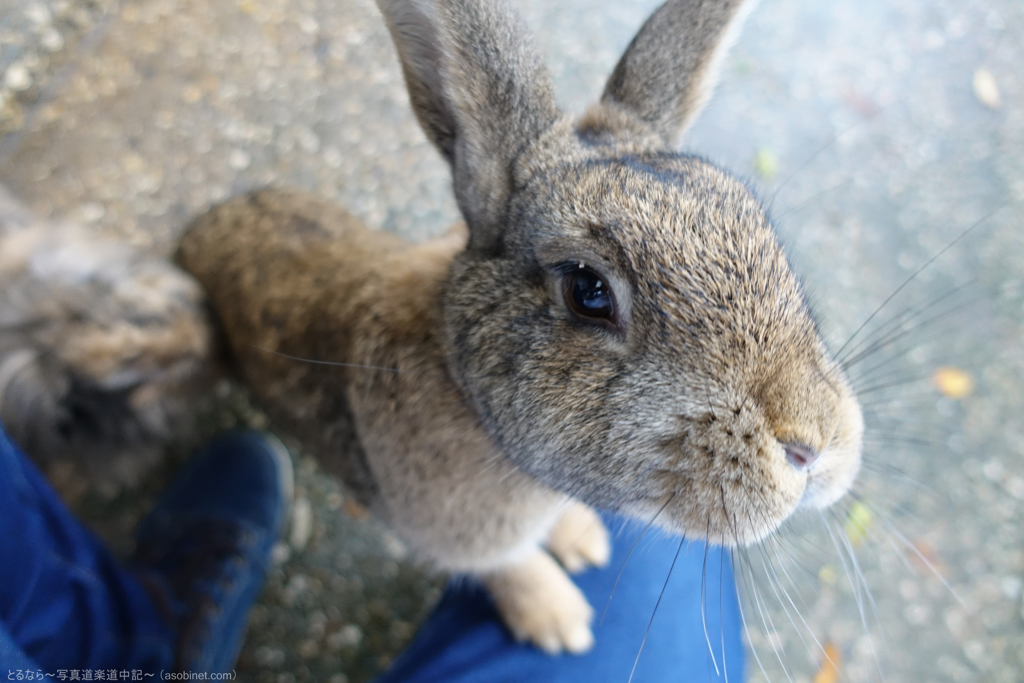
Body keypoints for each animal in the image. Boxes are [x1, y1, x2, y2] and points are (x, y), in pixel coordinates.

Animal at [178, 0, 864, 655]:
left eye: (761, 228)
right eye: (588, 290)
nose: (815, 445)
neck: (466, 392)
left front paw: (583, 542)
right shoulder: (459, 537)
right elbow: (507, 567)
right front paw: (562, 623)